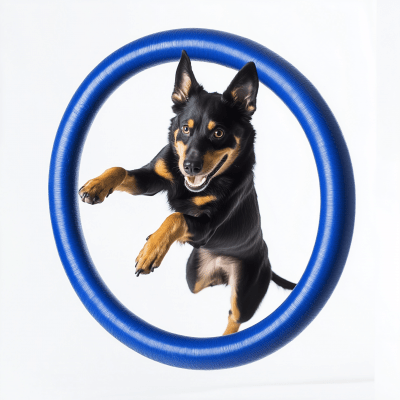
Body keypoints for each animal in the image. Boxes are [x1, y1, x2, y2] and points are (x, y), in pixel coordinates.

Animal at [79, 50, 296, 338]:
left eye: (219, 132)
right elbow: (120, 170)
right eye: (185, 128)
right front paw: (96, 185)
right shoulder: (151, 180)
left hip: (246, 292)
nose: (190, 166)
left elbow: (177, 218)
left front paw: (151, 251)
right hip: (194, 276)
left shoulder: (207, 228)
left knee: (235, 316)